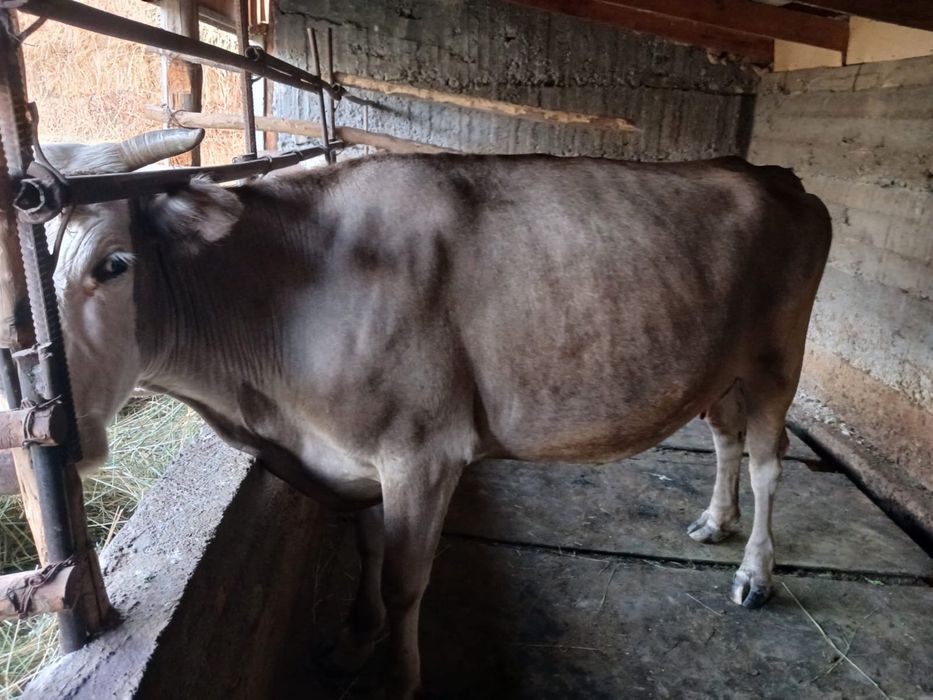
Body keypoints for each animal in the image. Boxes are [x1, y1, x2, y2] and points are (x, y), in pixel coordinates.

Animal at [44, 128, 831, 699]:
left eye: (113, 265)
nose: (59, 431)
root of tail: (770, 173)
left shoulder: (421, 451)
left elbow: (403, 578)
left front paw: (396, 680)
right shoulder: (355, 458)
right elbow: (366, 550)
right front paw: (351, 640)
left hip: (776, 357)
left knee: (767, 460)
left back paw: (755, 574)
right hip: (719, 367)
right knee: (726, 440)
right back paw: (714, 522)